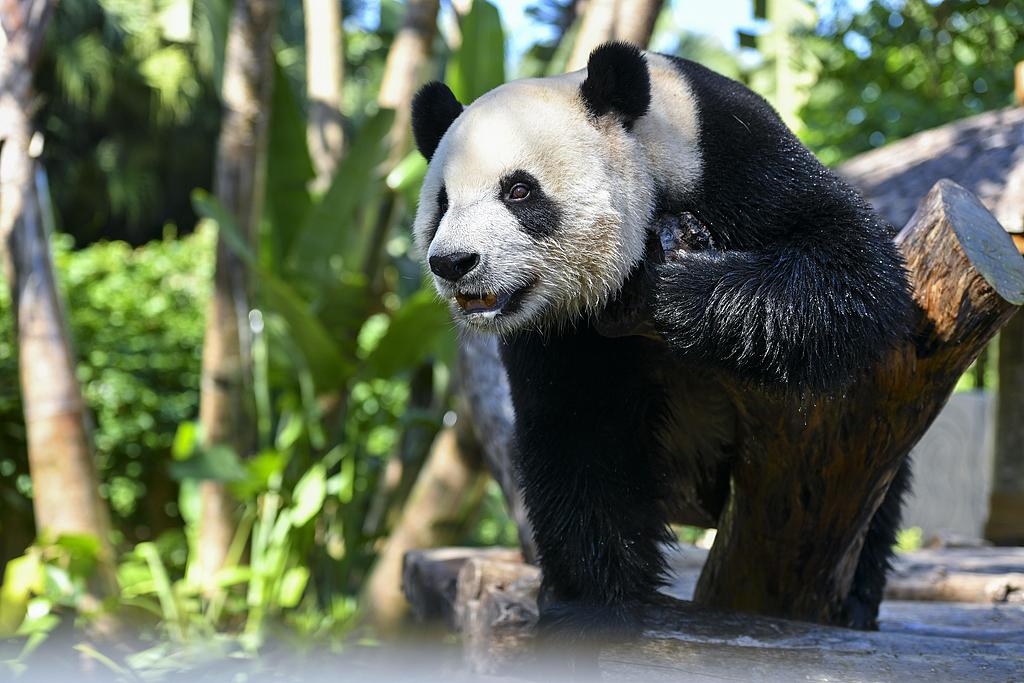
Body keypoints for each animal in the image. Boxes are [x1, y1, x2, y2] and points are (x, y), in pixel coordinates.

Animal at [410, 42, 913, 634]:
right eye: (442, 203)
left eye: (518, 191)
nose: (453, 263)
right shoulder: (557, 328)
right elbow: (581, 430)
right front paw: (592, 606)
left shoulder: (736, 156)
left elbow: (850, 265)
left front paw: (671, 290)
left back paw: (856, 599)